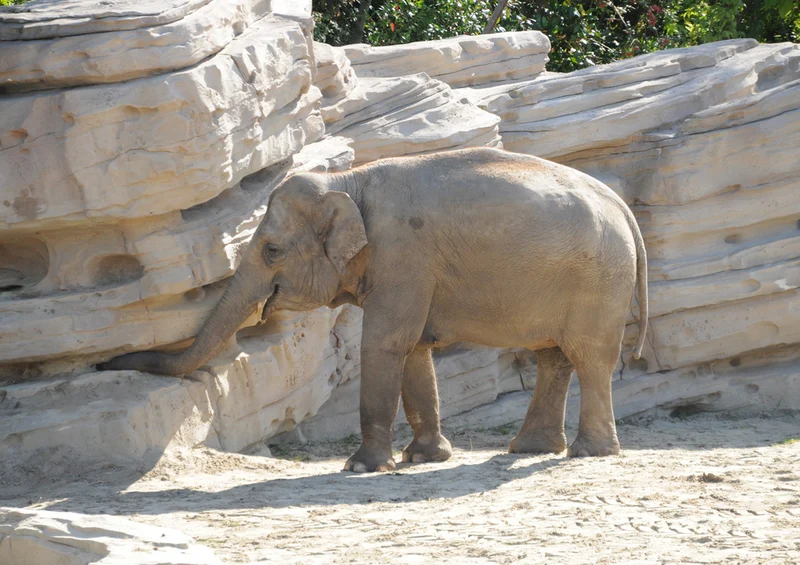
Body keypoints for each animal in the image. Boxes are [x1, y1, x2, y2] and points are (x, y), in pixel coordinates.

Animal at [99, 147, 648, 473]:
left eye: (272, 251)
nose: (106, 362)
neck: (348, 180)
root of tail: (623, 208)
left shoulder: (404, 252)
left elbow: (386, 342)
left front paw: (361, 468)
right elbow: (414, 348)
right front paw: (425, 458)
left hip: (598, 280)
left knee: (588, 356)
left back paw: (589, 453)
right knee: (553, 356)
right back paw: (531, 449)